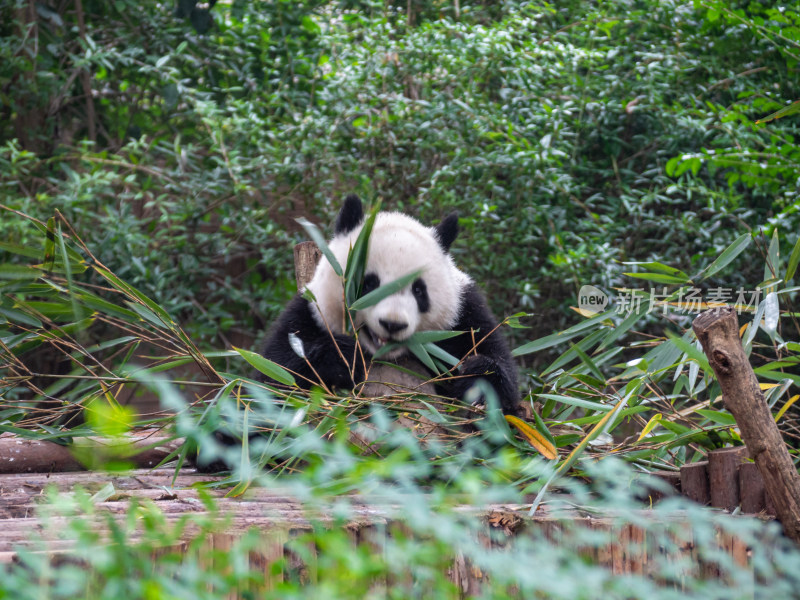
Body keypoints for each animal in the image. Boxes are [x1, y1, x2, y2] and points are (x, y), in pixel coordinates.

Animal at [258, 195, 520, 414]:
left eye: (419, 290)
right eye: (368, 284)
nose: (393, 324)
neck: (388, 356)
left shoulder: (464, 316)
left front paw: (479, 379)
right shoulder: (307, 314)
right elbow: (275, 380)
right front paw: (342, 358)